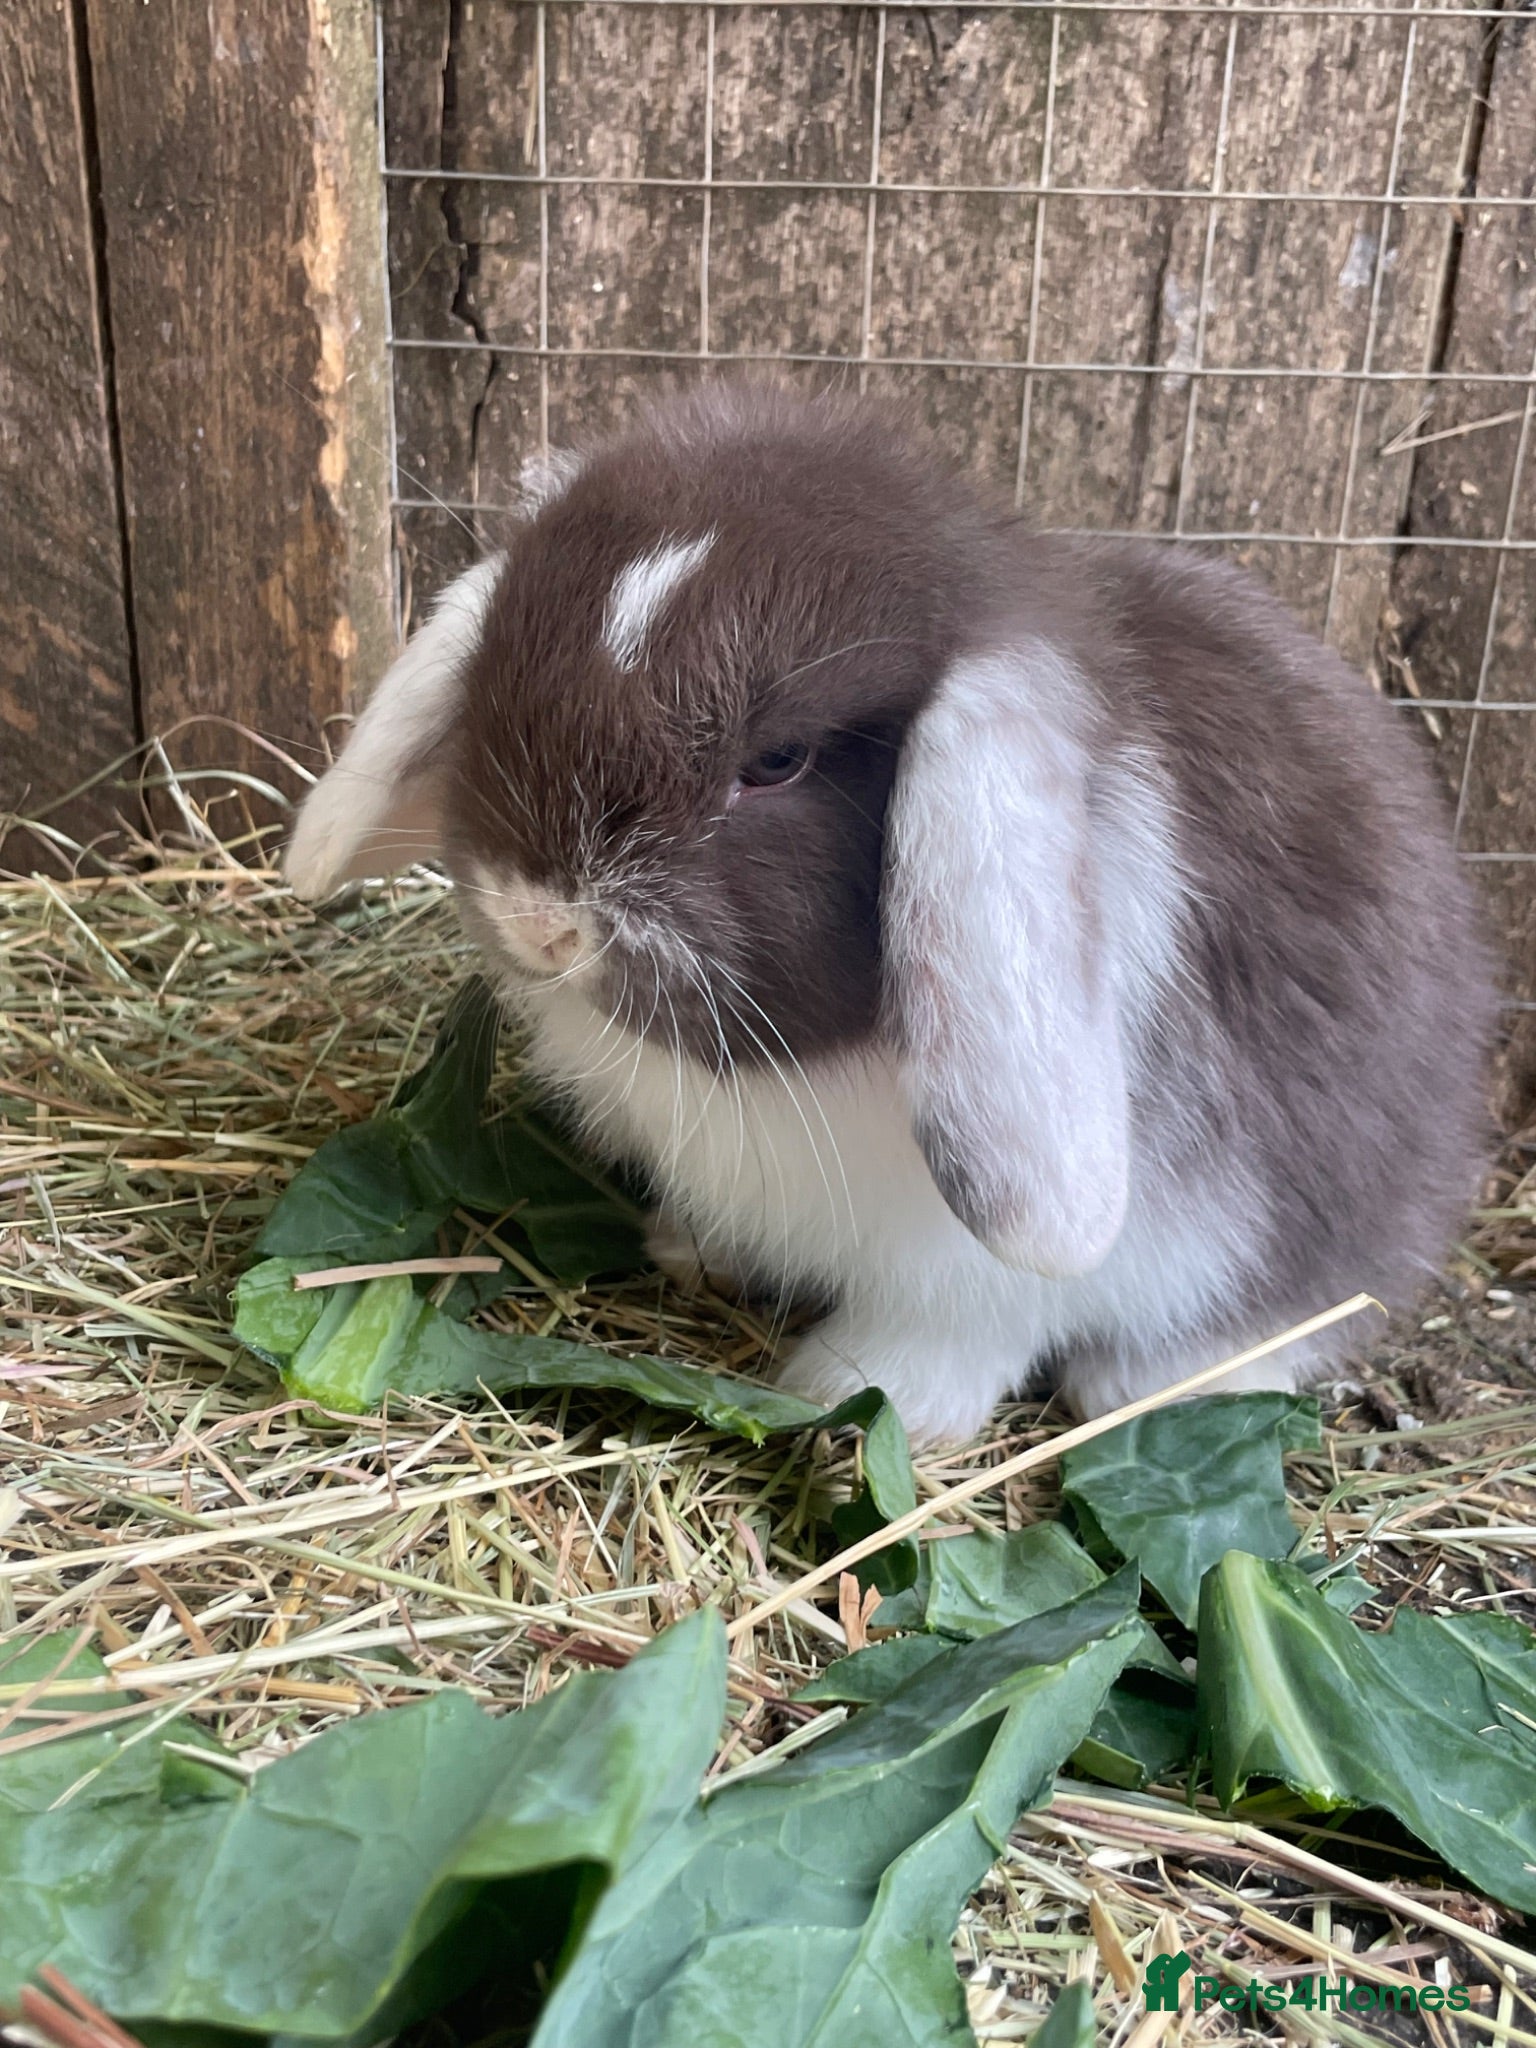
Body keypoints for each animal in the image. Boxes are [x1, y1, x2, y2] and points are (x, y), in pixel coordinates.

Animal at [286, 383, 1496, 1443]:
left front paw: (860, 1396)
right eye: (498, 668)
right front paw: (689, 1251)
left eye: (777, 760)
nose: (541, 920)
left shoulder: (986, 1273)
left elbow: (963, 1328)